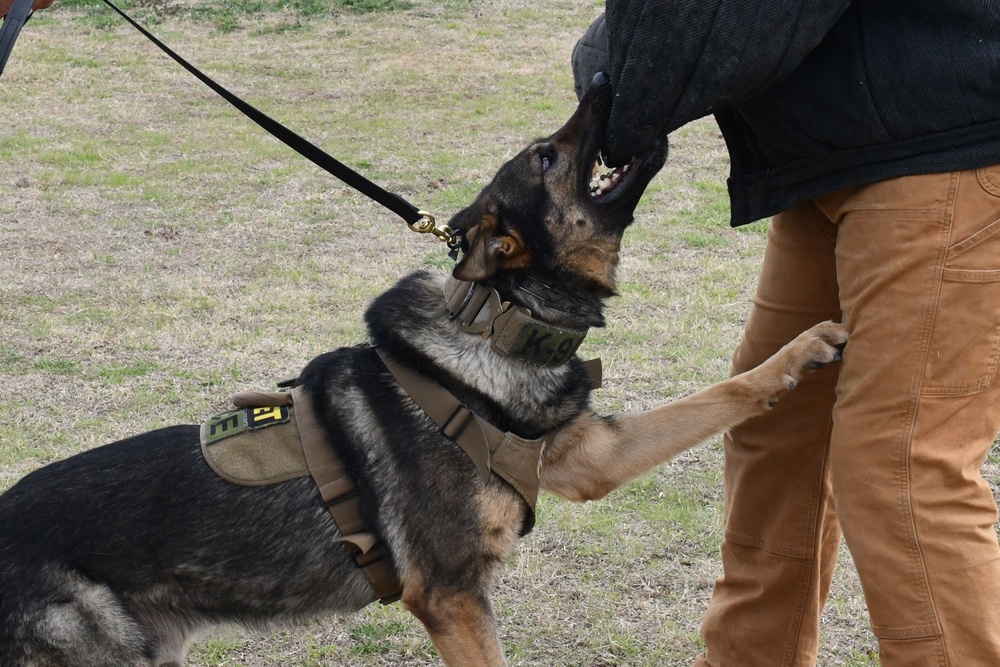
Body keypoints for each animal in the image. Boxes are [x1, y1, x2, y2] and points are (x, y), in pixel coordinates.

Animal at [0, 74, 848, 667]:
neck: (495, 325)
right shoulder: (451, 598)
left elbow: (726, 390)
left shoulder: (592, 460)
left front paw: (808, 345)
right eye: (548, 154)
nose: (604, 82)